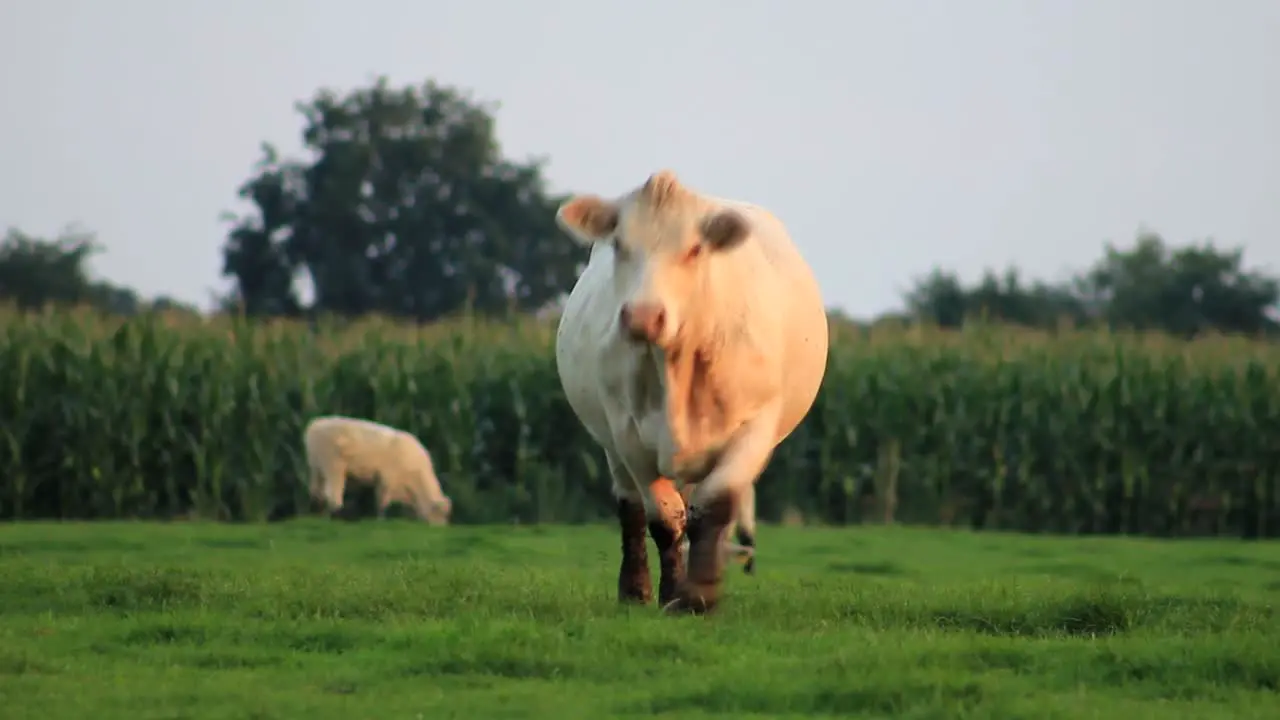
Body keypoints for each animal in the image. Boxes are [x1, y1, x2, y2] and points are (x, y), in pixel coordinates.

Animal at [552, 167, 829, 609]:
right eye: (619, 244)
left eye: (695, 249)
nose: (643, 316)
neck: (676, 367)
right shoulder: (626, 434)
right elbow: (665, 520)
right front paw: (670, 593)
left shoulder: (754, 429)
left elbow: (713, 510)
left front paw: (698, 595)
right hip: (613, 445)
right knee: (632, 506)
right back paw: (635, 589)